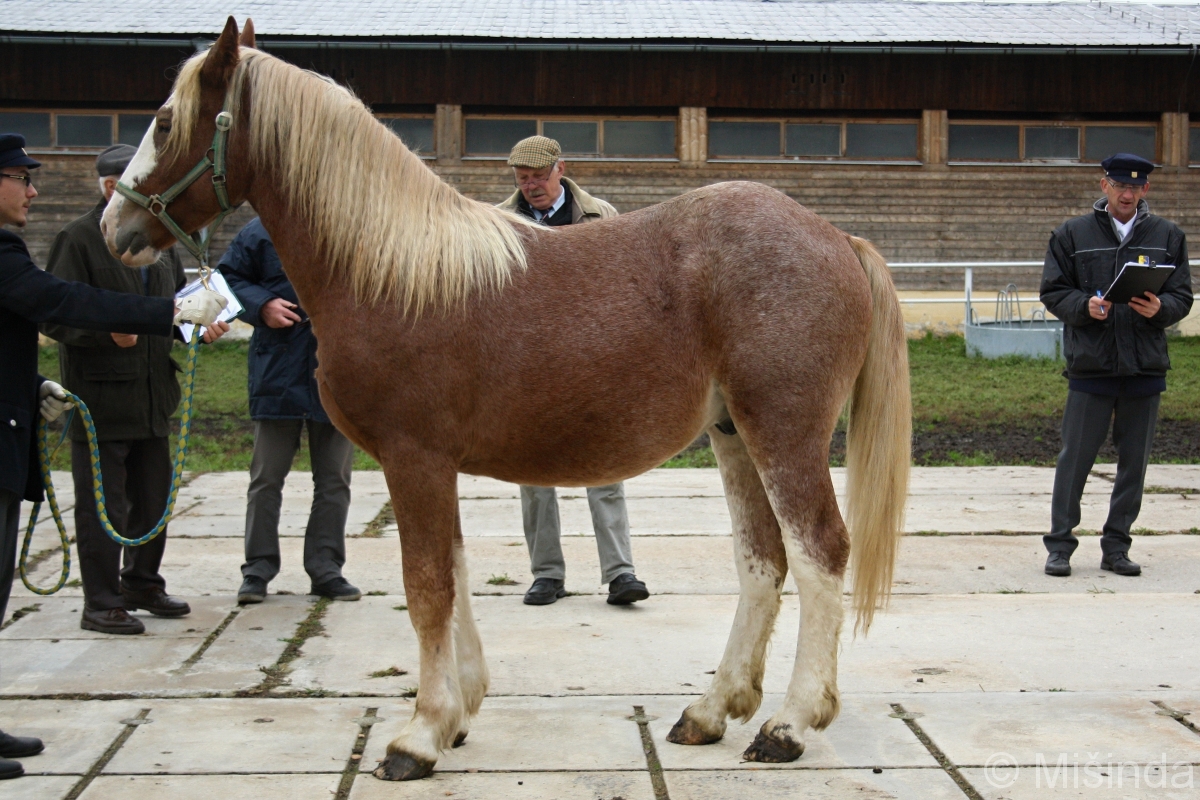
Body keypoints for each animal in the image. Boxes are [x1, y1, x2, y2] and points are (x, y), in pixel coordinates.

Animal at [103, 17, 907, 782]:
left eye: (166, 122)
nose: (116, 228)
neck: (391, 272)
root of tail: (835, 237)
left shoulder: (414, 458)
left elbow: (426, 585)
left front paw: (419, 736)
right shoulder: (433, 465)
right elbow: (454, 574)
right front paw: (459, 713)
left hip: (783, 430)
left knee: (818, 553)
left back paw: (790, 726)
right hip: (735, 434)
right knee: (762, 560)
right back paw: (711, 712)